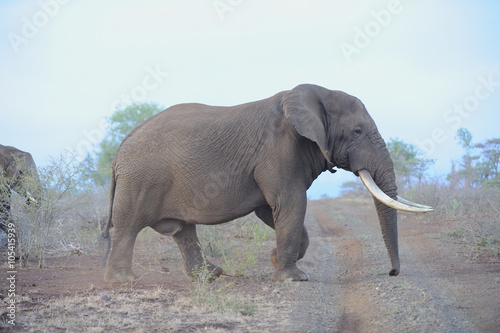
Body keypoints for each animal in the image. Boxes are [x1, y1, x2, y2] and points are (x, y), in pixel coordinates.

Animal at [101, 84, 430, 282]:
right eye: (357, 132)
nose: (392, 273)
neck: (317, 94)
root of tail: (118, 151)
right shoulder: (278, 150)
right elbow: (290, 203)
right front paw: (294, 278)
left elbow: (272, 211)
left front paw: (275, 260)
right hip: (140, 179)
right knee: (129, 226)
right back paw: (123, 281)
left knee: (183, 231)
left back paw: (211, 276)